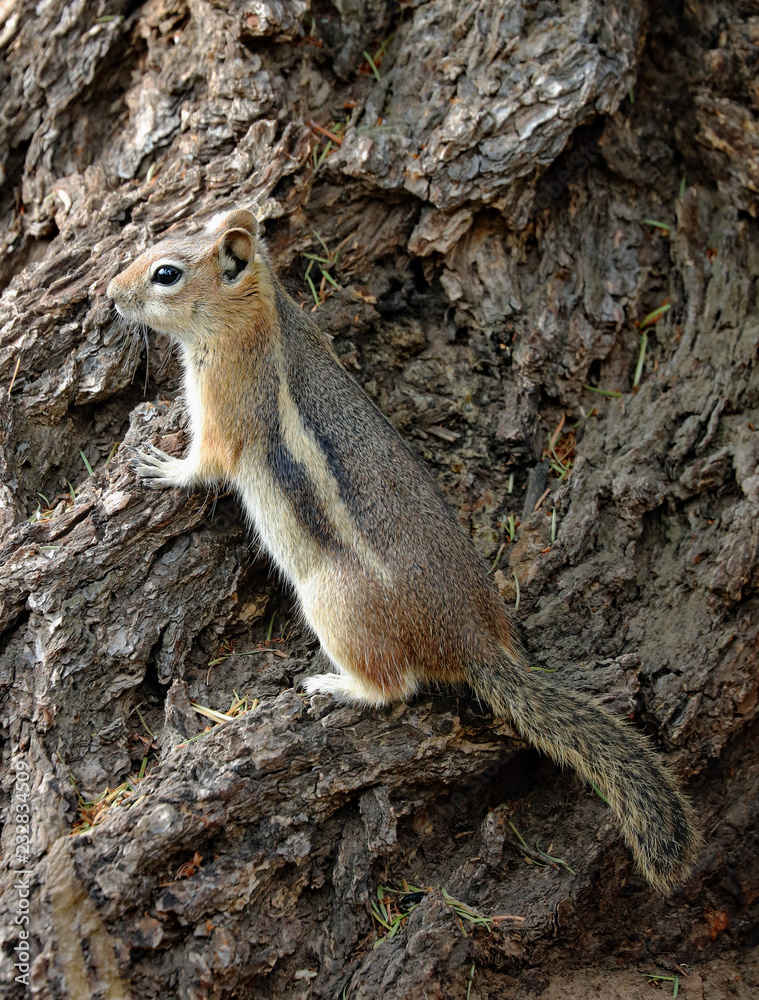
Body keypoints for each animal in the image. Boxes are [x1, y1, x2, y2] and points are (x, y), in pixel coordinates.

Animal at [107, 207, 700, 892]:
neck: (258, 312)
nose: (110, 293)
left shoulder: (224, 404)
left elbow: (206, 465)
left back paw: (331, 686)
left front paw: (163, 467)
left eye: (165, 273)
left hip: (333, 603)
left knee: (394, 688)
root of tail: (472, 639)